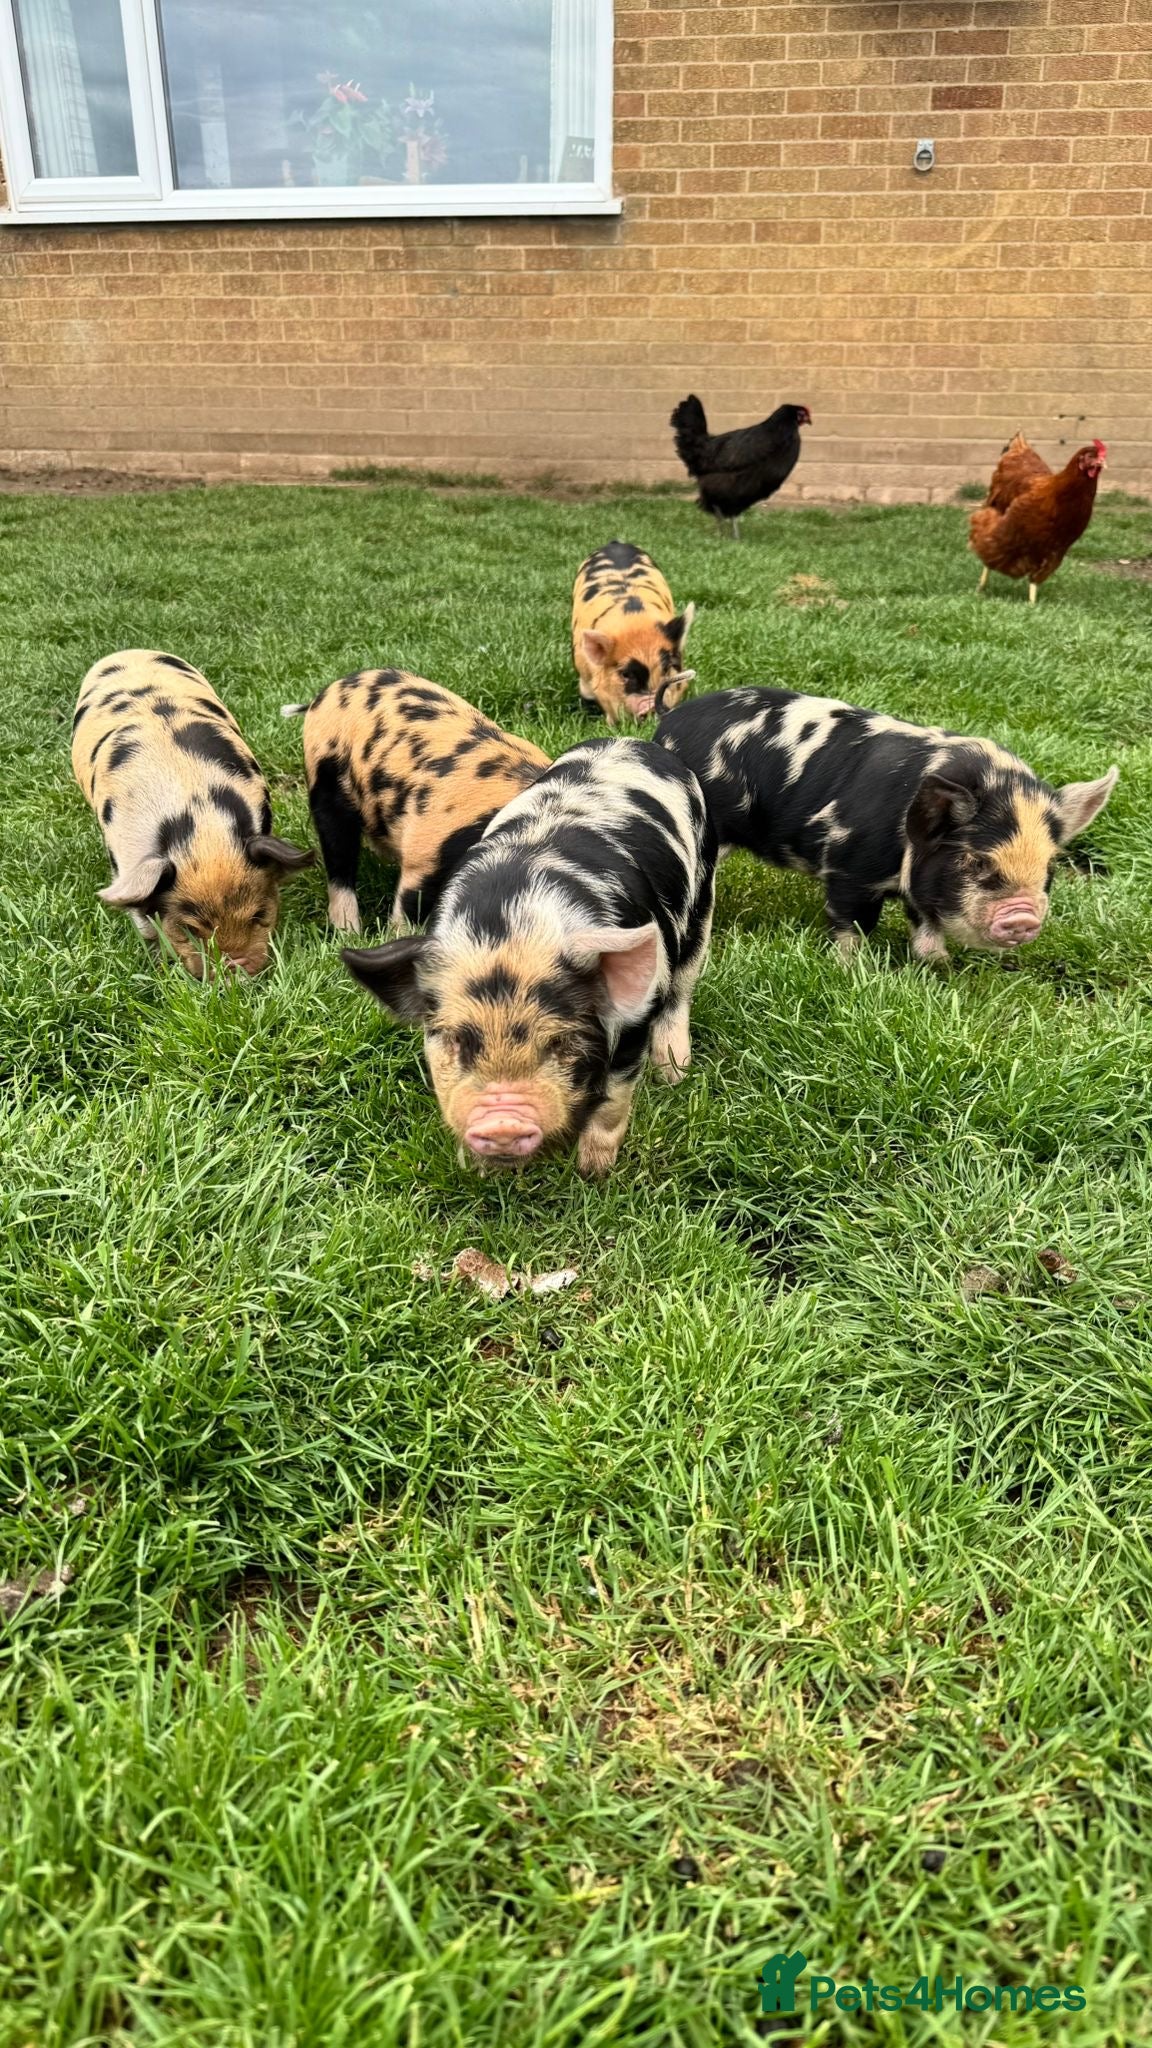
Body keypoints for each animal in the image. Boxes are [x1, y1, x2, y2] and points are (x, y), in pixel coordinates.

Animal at [282, 668, 550, 933]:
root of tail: (323, 695)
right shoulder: (426, 857)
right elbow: (410, 905)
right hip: (324, 782)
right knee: (338, 858)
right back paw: (349, 932)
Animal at [341, 736, 717, 1176]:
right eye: (456, 1040)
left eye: (560, 1042)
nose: (503, 1123)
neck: (512, 925)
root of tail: (633, 742)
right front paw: (481, 1170)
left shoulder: (634, 1019)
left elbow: (612, 1101)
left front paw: (593, 1173)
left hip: (703, 894)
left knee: (683, 986)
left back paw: (673, 1071)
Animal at [656, 685, 1118, 960]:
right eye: (975, 861)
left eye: (1050, 867)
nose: (1024, 917)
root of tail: (671, 717)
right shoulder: (848, 866)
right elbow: (852, 924)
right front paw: (852, 968)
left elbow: (927, 926)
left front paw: (938, 966)